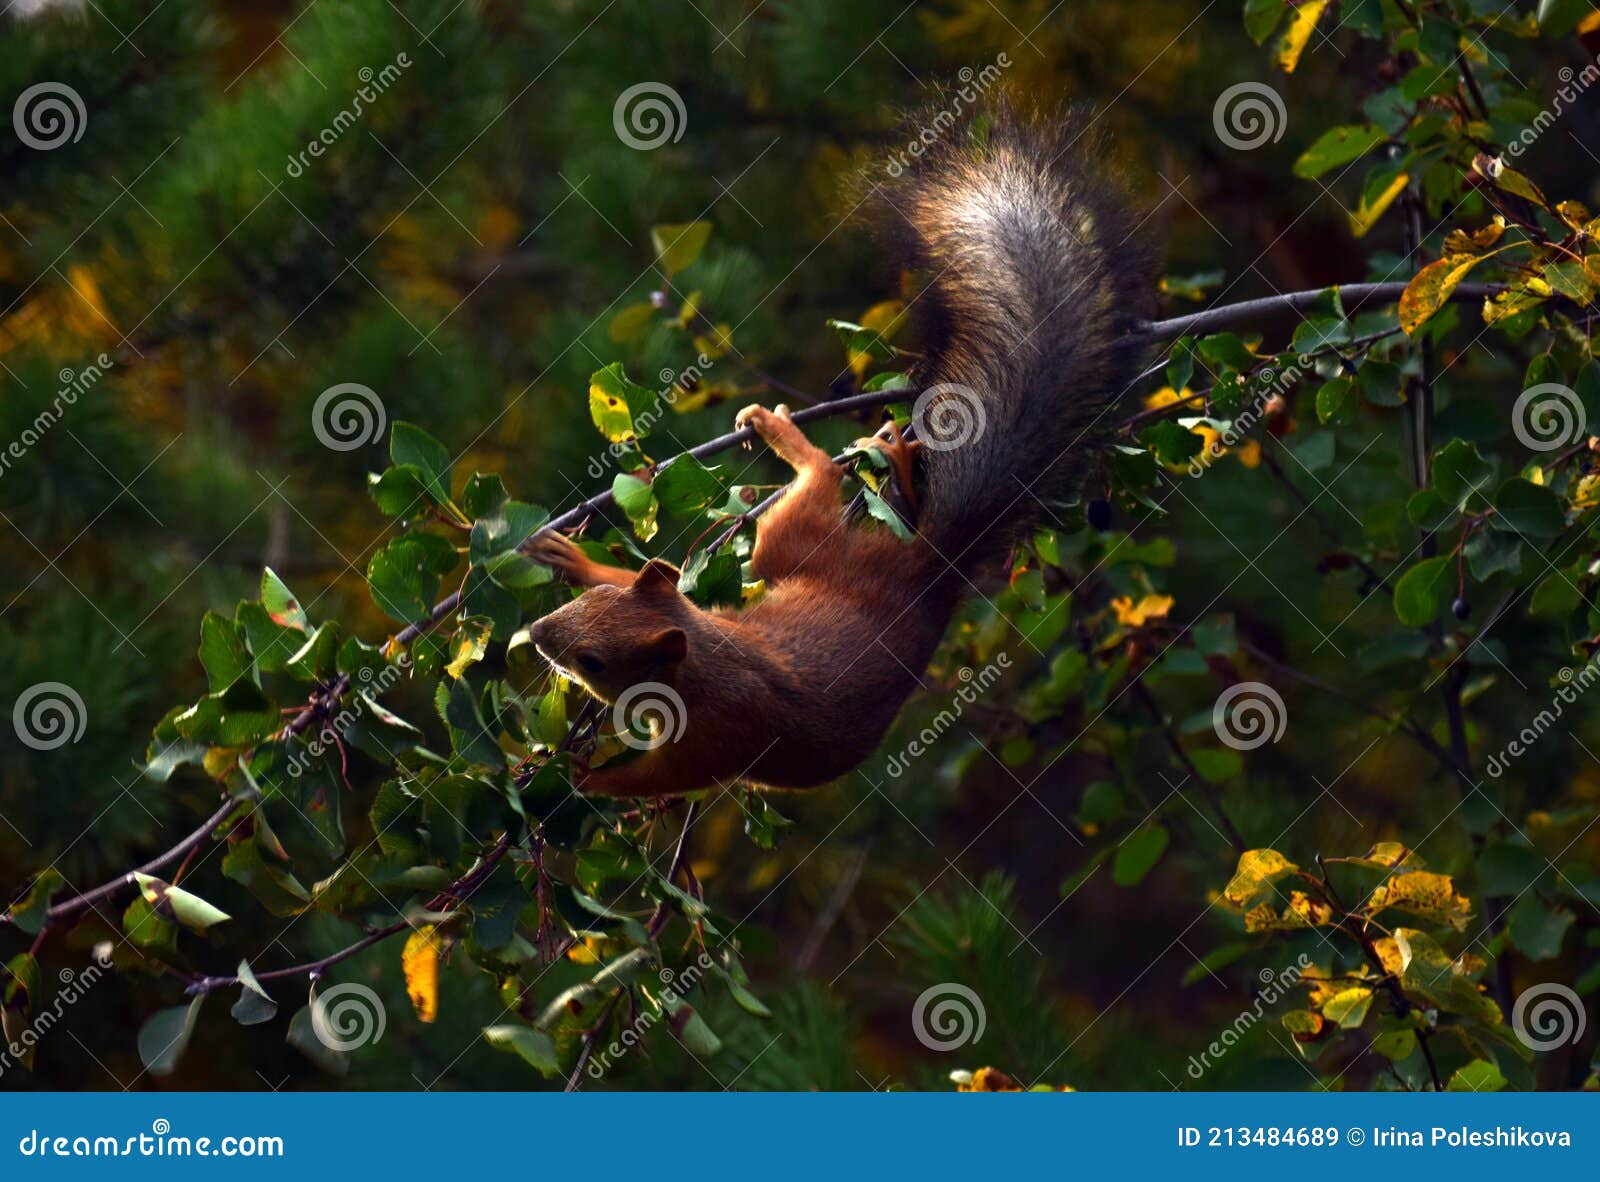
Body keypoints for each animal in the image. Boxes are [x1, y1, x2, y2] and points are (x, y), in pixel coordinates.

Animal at [523, 94, 1153, 798]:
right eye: (588, 605)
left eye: (594, 662)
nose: (540, 633)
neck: (701, 658)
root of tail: (929, 571)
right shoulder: (688, 604)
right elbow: (654, 579)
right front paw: (573, 560)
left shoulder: (711, 738)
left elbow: (657, 779)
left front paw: (580, 778)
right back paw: (896, 463)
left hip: (785, 546)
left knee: (819, 475)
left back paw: (789, 437)